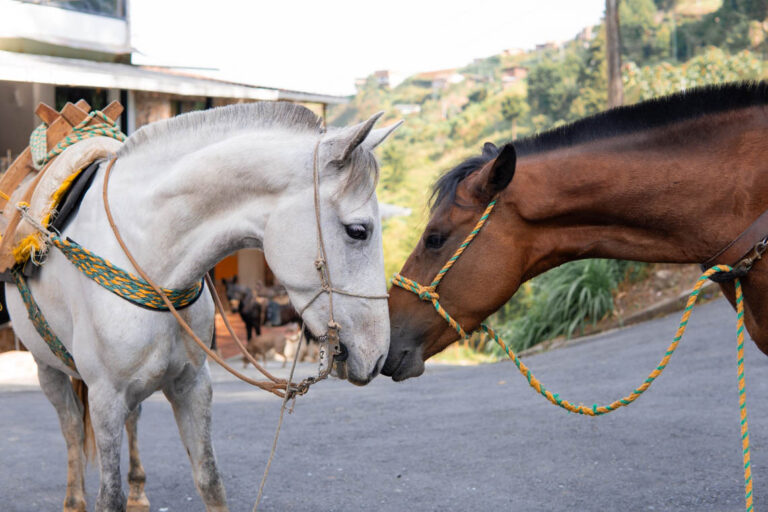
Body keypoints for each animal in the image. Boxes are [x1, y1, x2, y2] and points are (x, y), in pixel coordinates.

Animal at [7, 102, 399, 511]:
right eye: (359, 230)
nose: (377, 356)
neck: (150, 258)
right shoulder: (106, 397)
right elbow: (108, 496)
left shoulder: (192, 385)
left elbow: (210, 481)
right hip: (47, 368)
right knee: (70, 426)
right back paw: (74, 498)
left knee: (133, 419)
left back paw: (138, 490)